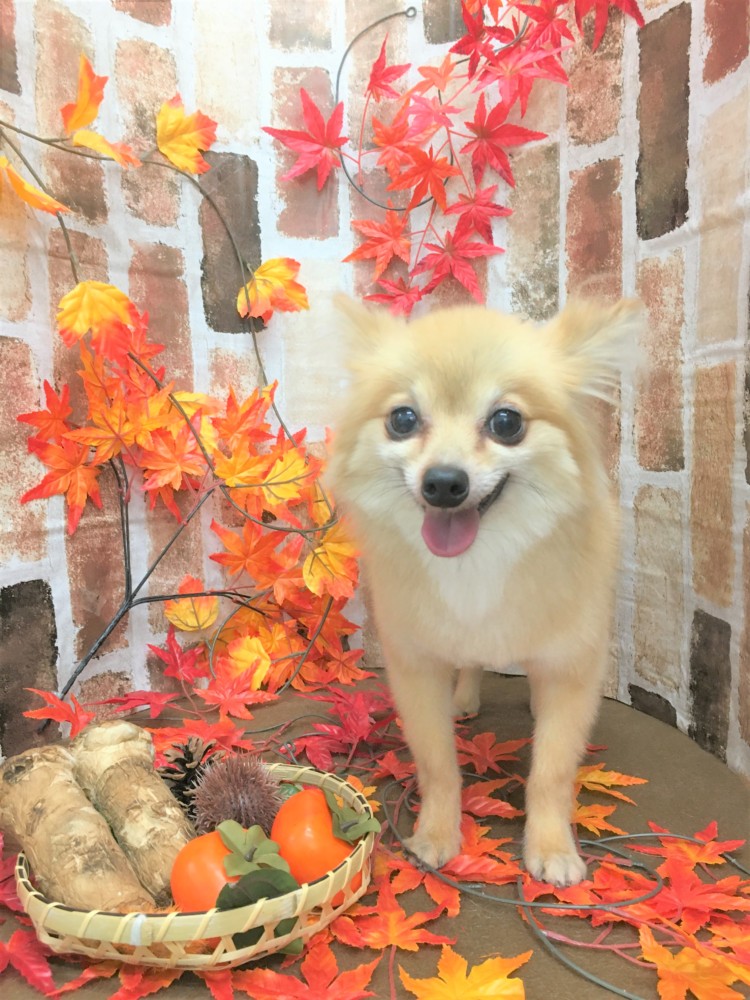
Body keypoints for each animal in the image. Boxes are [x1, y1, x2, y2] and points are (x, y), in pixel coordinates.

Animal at [328, 296, 641, 887]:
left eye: (506, 422)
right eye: (403, 419)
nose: (443, 482)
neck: (478, 562)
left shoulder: (570, 667)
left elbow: (551, 773)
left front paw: (552, 848)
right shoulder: (417, 667)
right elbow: (437, 765)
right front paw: (435, 835)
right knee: (469, 664)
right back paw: (465, 699)